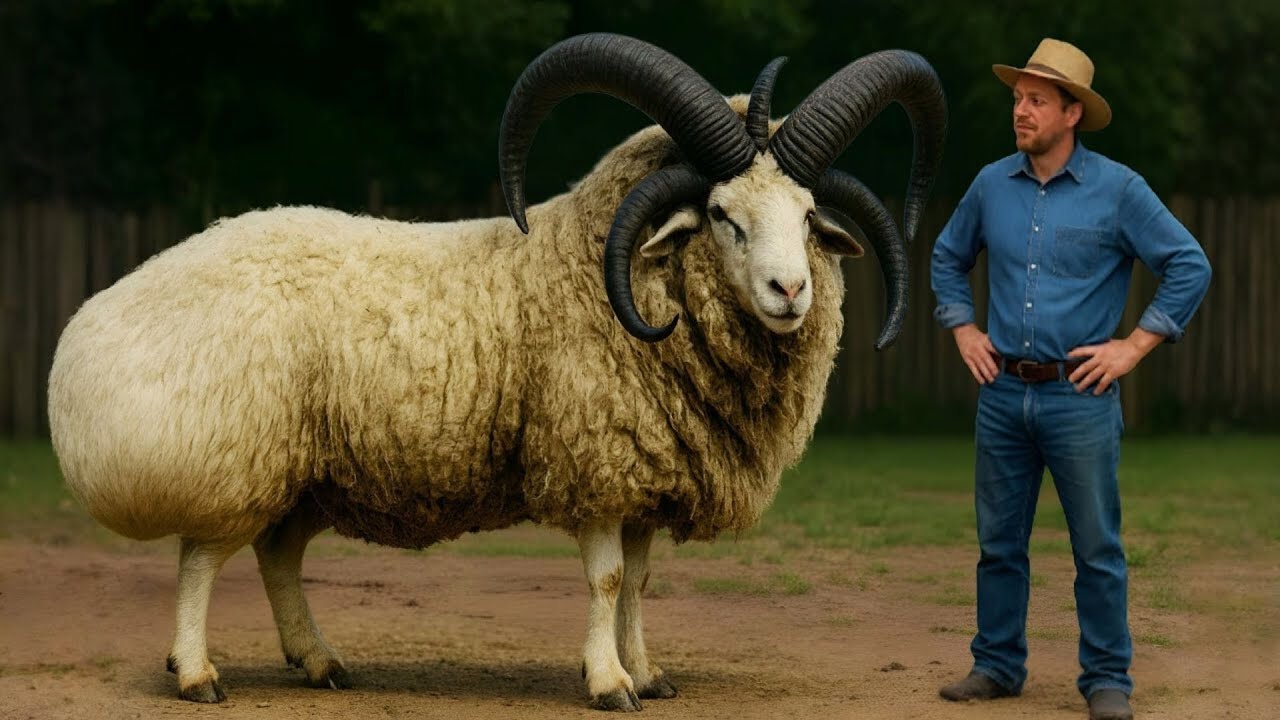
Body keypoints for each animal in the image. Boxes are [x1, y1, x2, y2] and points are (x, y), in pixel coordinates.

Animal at [47, 33, 946, 711]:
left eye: (807, 215)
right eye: (723, 215)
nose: (790, 291)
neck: (594, 272)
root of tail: (86, 330)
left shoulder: (645, 471)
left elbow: (640, 582)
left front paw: (649, 673)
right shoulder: (596, 462)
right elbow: (607, 578)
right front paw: (608, 683)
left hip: (307, 474)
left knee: (277, 556)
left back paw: (319, 661)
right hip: (236, 455)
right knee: (202, 559)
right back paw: (197, 673)